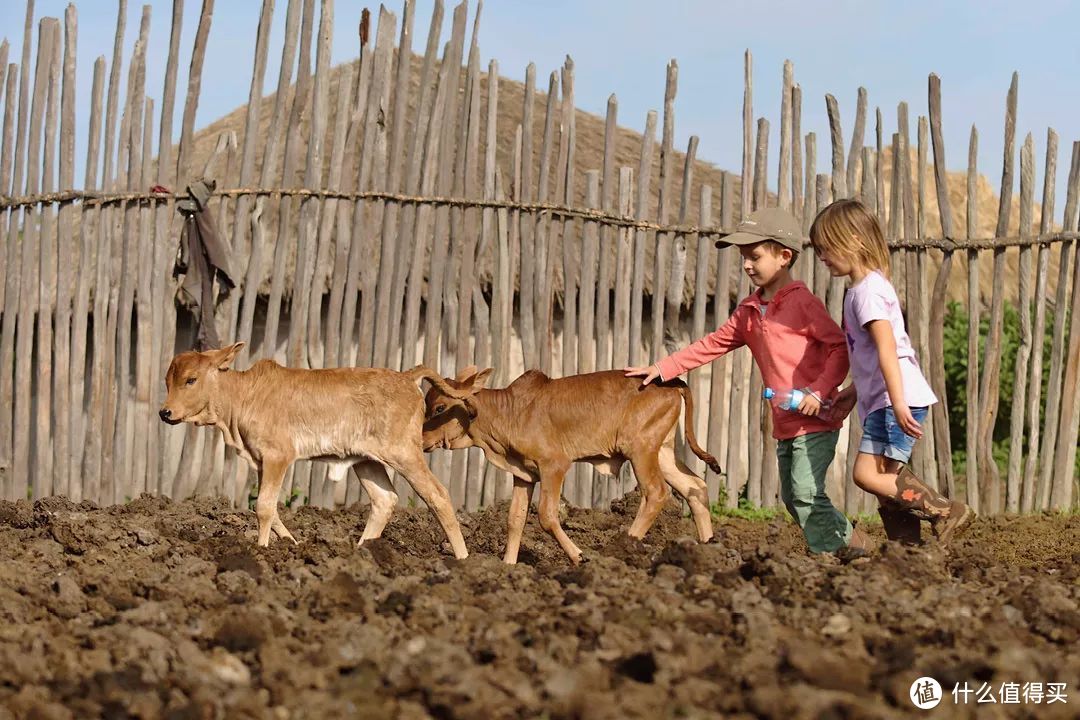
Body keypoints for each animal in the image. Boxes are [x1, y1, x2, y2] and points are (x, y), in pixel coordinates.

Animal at [158, 343, 468, 557]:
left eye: (191, 379)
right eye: (167, 381)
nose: (165, 412)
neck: (242, 397)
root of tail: (406, 377)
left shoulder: (278, 456)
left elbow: (264, 507)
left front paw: (262, 550)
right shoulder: (261, 462)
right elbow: (269, 507)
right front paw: (291, 543)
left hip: (404, 453)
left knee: (438, 496)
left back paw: (462, 558)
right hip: (366, 460)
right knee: (384, 500)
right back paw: (361, 551)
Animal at [419, 369, 717, 565]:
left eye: (439, 408)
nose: (419, 440)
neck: (509, 412)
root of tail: (673, 382)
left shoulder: (554, 466)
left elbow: (547, 516)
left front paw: (578, 556)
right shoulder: (524, 475)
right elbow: (515, 519)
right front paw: (508, 566)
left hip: (641, 450)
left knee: (656, 493)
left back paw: (621, 548)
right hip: (662, 453)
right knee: (696, 487)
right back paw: (707, 548)